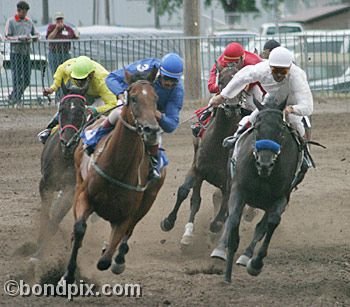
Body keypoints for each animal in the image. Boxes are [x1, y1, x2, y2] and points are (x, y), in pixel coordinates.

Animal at [30, 83, 88, 262]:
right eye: (62, 109)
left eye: (81, 111)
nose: (67, 143)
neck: (65, 156)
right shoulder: (45, 185)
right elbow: (45, 215)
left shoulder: (71, 190)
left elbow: (55, 219)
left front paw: (40, 253)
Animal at [62, 70, 165, 284]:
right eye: (133, 98)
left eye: (156, 99)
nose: (151, 130)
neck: (117, 168)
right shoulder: (84, 196)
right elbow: (80, 228)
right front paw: (68, 275)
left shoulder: (125, 216)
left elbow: (106, 259)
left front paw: (112, 257)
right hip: (78, 179)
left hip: (148, 200)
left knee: (128, 232)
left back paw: (118, 258)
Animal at [161, 62, 245, 248]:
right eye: (221, 82)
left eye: (241, 83)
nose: (232, 106)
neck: (219, 144)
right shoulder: (197, 168)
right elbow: (185, 192)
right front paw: (168, 222)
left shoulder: (230, 182)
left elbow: (224, 210)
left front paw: (215, 228)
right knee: (196, 199)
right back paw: (187, 234)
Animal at [211, 99, 300, 284]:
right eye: (257, 127)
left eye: (281, 129)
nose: (265, 163)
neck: (263, 174)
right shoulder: (238, 190)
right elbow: (233, 220)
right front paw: (227, 274)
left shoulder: (281, 198)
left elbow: (270, 224)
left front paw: (256, 263)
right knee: (230, 218)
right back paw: (220, 249)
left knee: (262, 226)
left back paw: (247, 256)